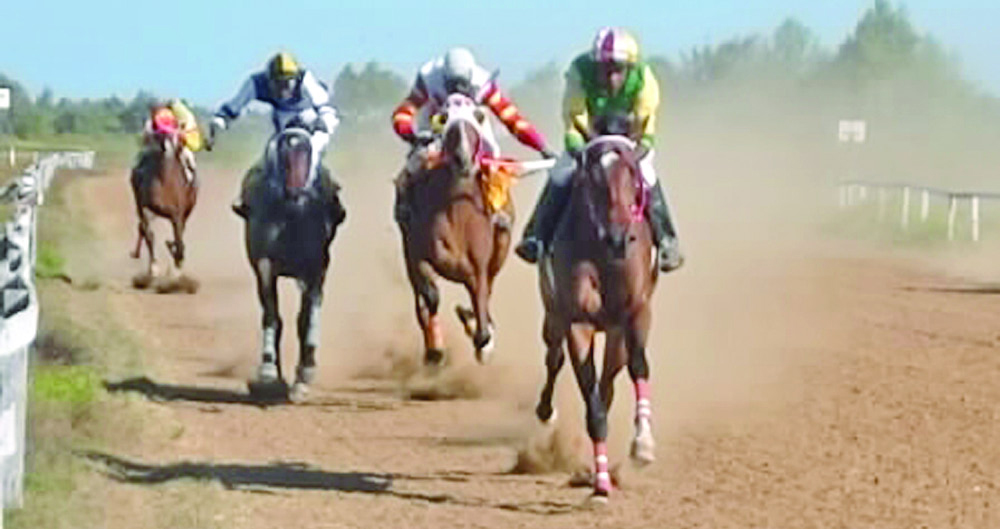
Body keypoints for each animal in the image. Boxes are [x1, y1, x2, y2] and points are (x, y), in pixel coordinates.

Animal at [130, 106, 199, 293]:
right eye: (155, 127)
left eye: (170, 126)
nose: (165, 146)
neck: (164, 181)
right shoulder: (145, 207)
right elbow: (149, 235)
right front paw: (152, 272)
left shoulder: (178, 214)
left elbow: (179, 240)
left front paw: (177, 275)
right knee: (145, 231)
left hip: (187, 211)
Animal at [243, 127, 346, 401]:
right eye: (284, 157)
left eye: (306, 154)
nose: (294, 190)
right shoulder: (265, 266)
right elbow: (272, 317)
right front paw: (269, 372)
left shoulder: (315, 270)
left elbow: (306, 319)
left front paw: (304, 374)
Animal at [397, 93, 513, 366]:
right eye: (444, 119)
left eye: (478, 117)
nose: (463, 158)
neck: (458, 212)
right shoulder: (418, 251)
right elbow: (431, 295)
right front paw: (436, 348)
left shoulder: (480, 259)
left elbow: (479, 287)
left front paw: (482, 338)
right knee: (423, 300)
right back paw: (435, 349)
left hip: (501, 248)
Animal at [533, 128, 659, 502]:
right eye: (592, 179)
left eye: (632, 174)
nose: (618, 238)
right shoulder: (578, 322)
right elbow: (592, 403)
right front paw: (601, 483)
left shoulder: (636, 313)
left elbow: (638, 367)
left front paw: (643, 444)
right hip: (553, 314)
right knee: (554, 358)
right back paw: (545, 411)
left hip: (616, 333)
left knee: (611, 379)